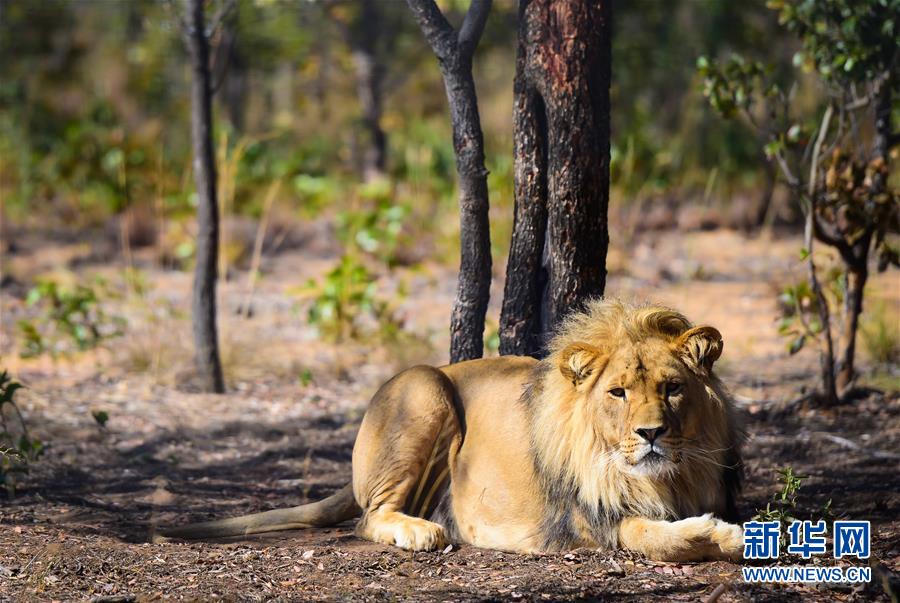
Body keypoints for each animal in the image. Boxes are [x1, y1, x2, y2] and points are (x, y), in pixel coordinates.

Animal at [160, 300, 744, 564]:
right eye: (618, 393)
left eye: (672, 388)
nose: (651, 433)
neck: (664, 477)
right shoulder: (590, 523)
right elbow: (659, 536)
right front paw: (725, 536)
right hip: (424, 389)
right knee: (368, 517)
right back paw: (421, 530)